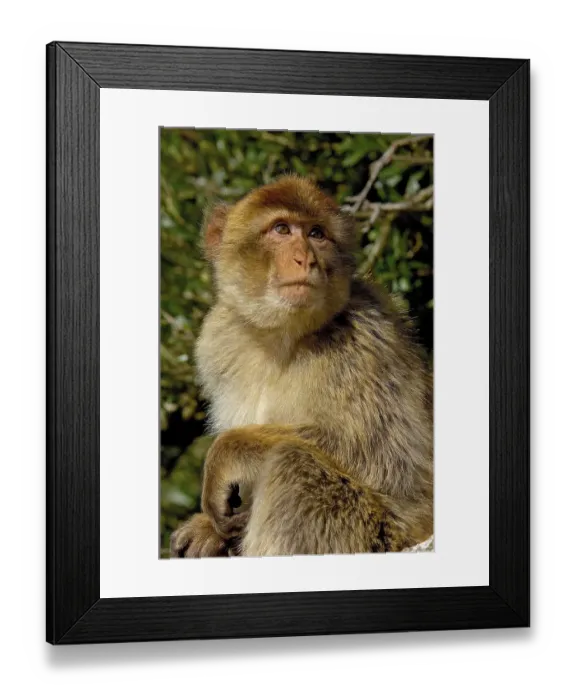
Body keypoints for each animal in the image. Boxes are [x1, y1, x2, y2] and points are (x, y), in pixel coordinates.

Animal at [170, 174, 433, 558]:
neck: (283, 338)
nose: (306, 259)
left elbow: (382, 459)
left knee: (294, 468)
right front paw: (206, 530)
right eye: (281, 229)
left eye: (316, 234)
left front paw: (227, 453)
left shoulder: (364, 342)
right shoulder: (218, 341)